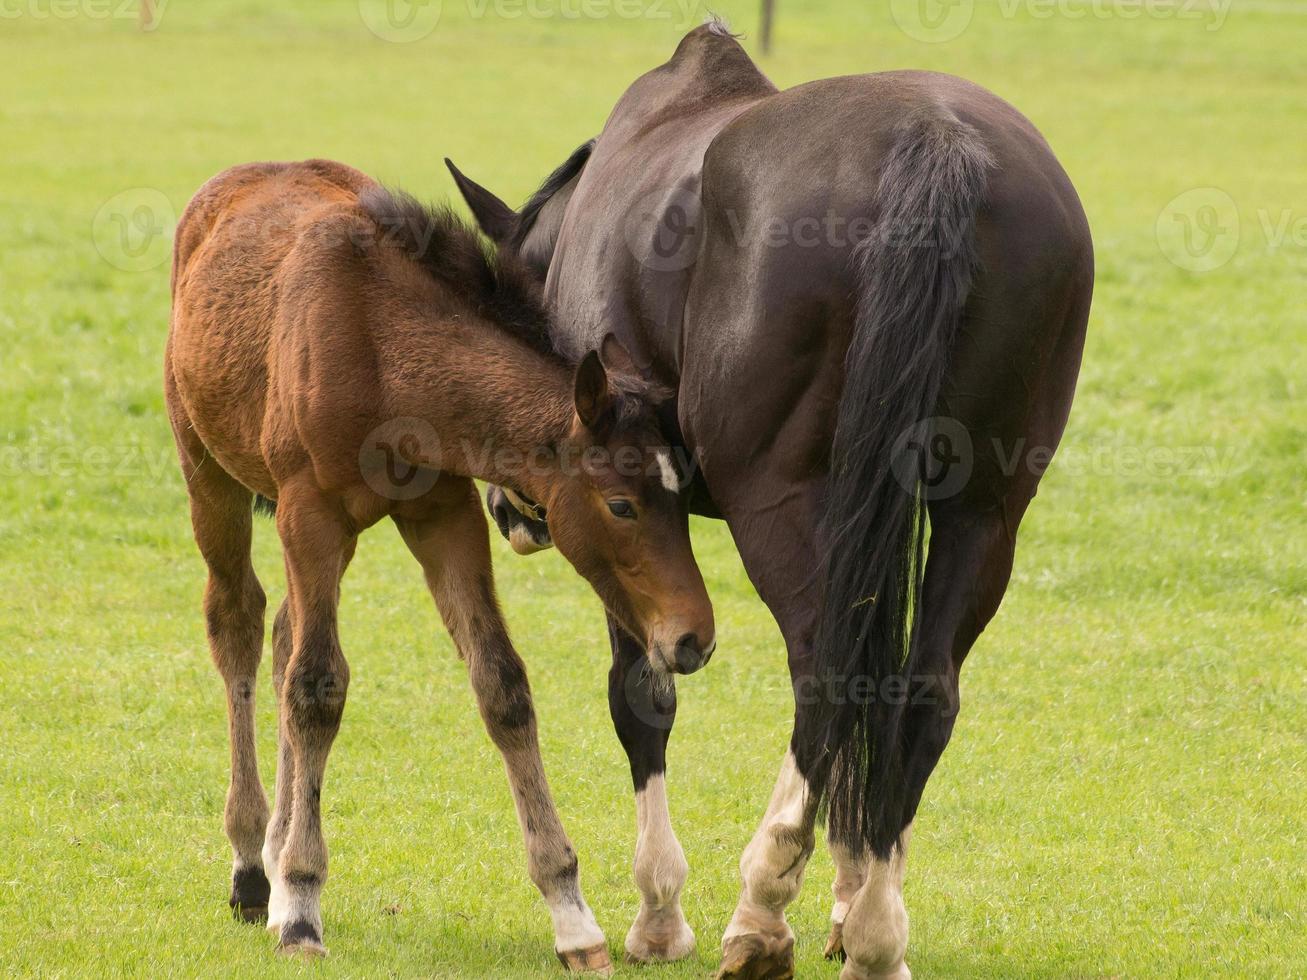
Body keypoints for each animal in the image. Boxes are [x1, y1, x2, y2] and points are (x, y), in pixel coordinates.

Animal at [165, 159, 716, 977]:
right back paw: (250, 869)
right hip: (210, 473)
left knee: (286, 633)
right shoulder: (308, 511)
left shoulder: (443, 513)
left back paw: (270, 849)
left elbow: (502, 686)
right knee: (238, 624)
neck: (381, 345)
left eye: (685, 496)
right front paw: (300, 904)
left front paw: (572, 915)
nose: (694, 638)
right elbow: (317, 688)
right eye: (620, 504)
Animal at [449, 19, 1092, 977]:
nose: (506, 510)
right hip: (985, 514)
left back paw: (763, 908)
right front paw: (848, 893)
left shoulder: (626, 528)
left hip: (779, 502)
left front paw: (659, 912)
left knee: (824, 674)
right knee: (916, 690)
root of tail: (936, 140)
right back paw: (875, 929)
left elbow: (641, 696)